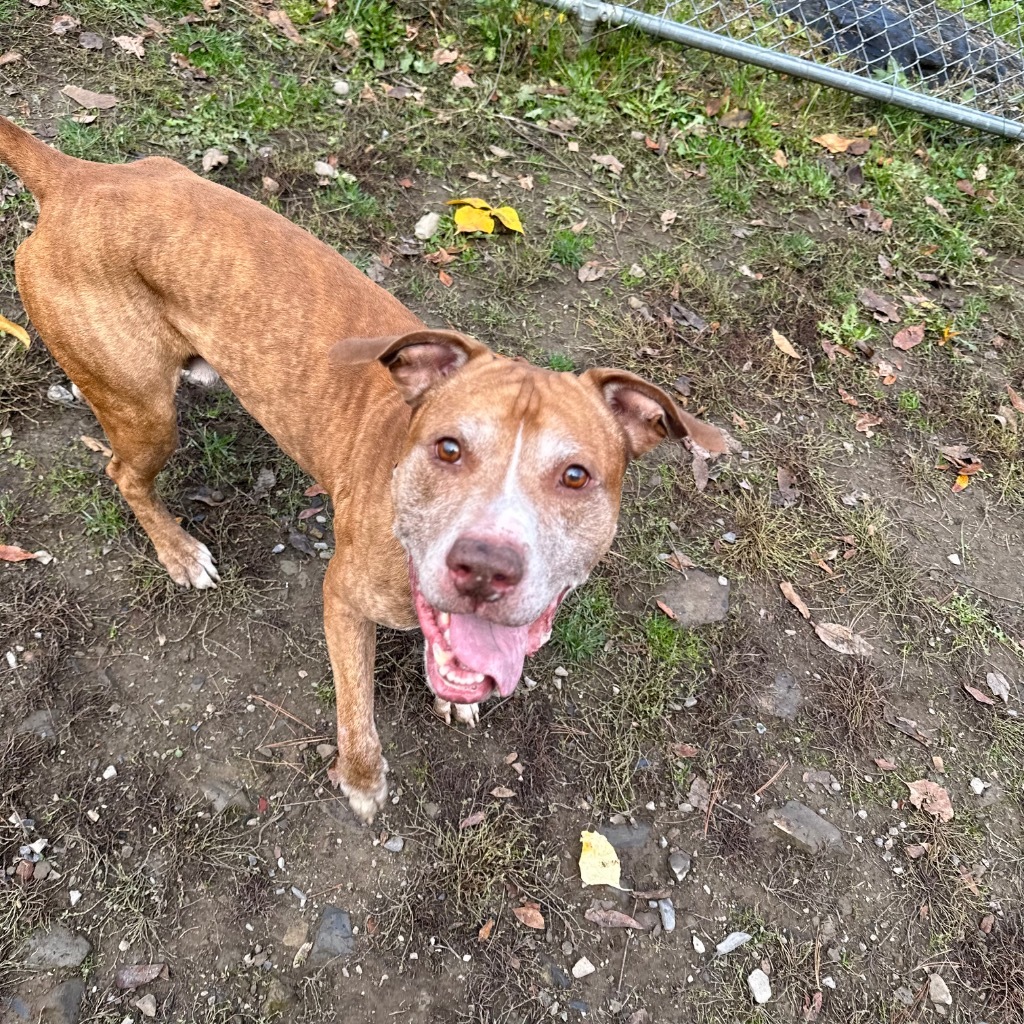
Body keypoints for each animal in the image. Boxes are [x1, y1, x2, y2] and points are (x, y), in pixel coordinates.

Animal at [0, 116, 729, 819]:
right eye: (448, 448)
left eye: (575, 476)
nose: (485, 567)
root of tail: (76, 178)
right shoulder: (343, 600)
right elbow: (358, 708)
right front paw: (360, 779)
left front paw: (455, 695)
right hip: (143, 411)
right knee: (124, 474)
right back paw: (178, 550)